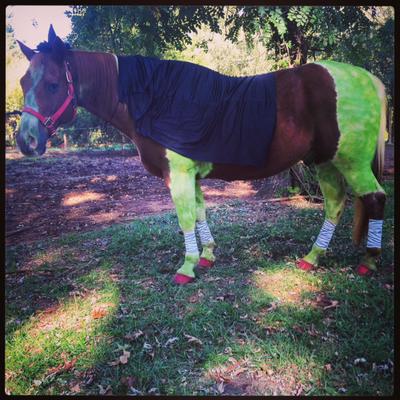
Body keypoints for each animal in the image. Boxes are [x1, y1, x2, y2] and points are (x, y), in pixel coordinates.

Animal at [16, 25, 388, 284]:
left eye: (52, 84)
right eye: (22, 82)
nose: (26, 141)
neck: (154, 97)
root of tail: (365, 77)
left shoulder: (178, 174)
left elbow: (184, 218)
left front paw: (187, 267)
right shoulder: (190, 175)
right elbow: (198, 212)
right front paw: (207, 255)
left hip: (351, 163)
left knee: (375, 199)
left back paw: (370, 260)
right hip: (326, 162)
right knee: (336, 203)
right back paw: (313, 257)